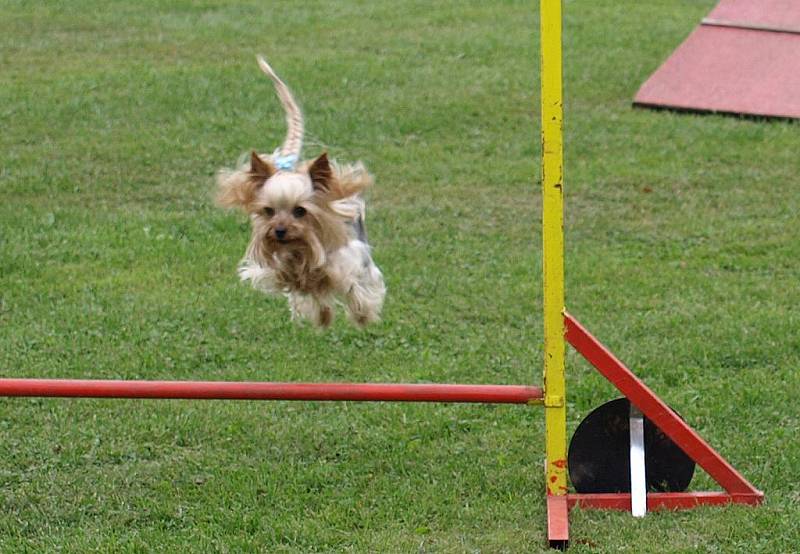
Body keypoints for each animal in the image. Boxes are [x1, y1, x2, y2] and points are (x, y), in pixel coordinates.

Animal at [216, 56, 384, 326]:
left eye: (300, 211)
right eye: (268, 211)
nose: (279, 231)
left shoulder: (352, 261)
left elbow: (349, 284)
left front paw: (362, 315)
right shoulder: (274, 265)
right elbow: (294, 281)